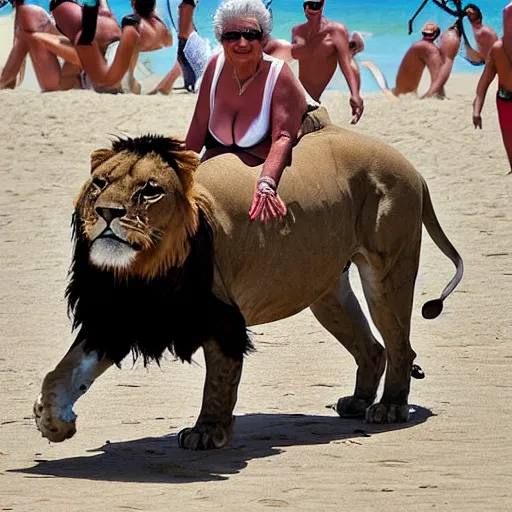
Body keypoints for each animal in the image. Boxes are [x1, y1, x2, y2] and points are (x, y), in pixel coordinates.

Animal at [33, 111, 464, 448]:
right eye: (100, 184)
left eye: (150, 191)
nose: (107, 212)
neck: (143, 271)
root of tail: (412, 168)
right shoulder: (118, 316)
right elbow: (63, 372)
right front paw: (52, 421)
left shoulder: (220, 316)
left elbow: (220, 380)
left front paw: (208, 432)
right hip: (324, 288)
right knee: (372, 347)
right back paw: (358, 401)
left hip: (388, 270)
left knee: (400, 346)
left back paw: (390, 406)